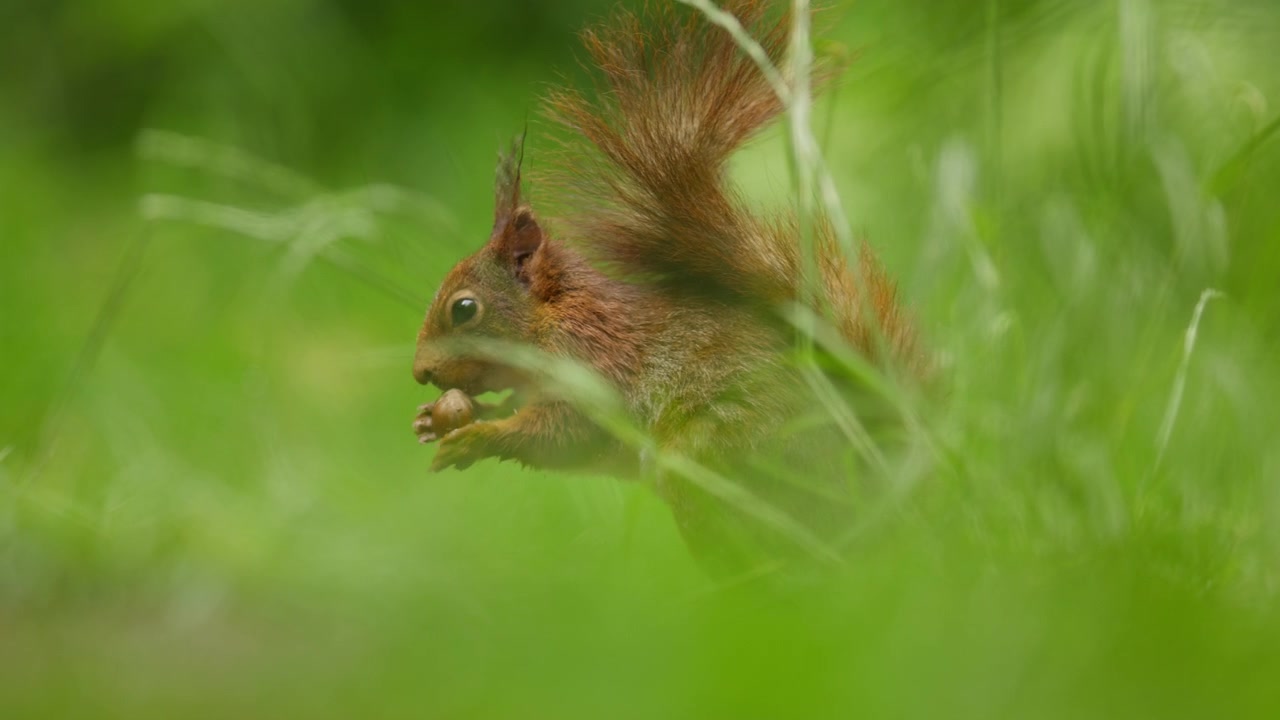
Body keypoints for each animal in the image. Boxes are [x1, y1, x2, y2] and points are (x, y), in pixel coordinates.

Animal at [411, 0, 923, 570]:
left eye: (464, 309)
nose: (420, 372)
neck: (555, 318)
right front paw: (439, 419)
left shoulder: (592, 365)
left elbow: (562, 433)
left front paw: (478, 436)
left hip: (712, 463)